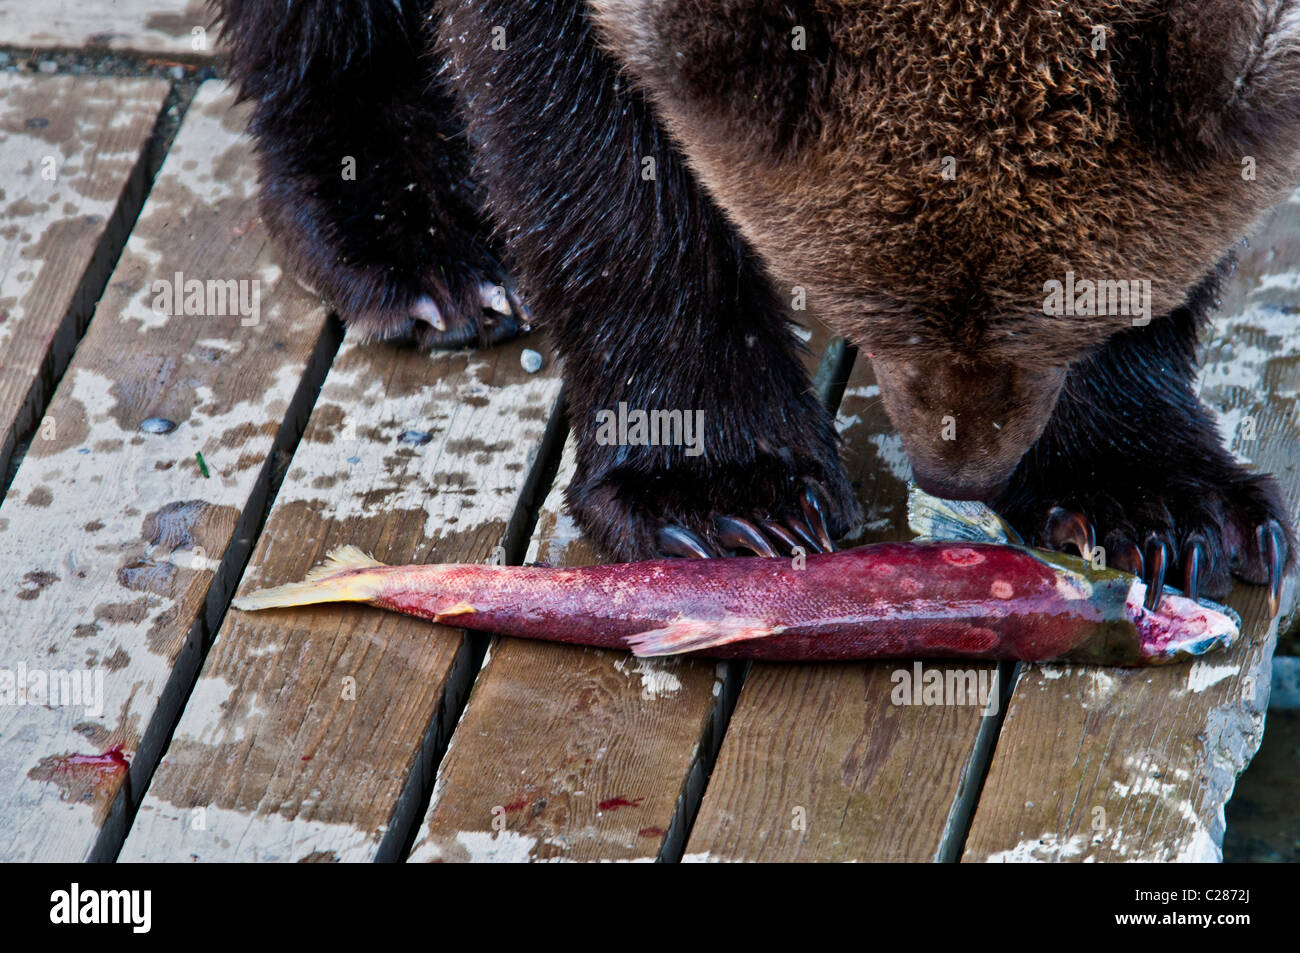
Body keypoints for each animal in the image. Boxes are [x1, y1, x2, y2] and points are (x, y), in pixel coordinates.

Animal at [218, 0, 1294, 608]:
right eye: (880, 322)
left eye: (1076, 318)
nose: (959, 466)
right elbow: (583, 128)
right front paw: (725, 493)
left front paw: (1156, 502)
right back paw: (412, 231)